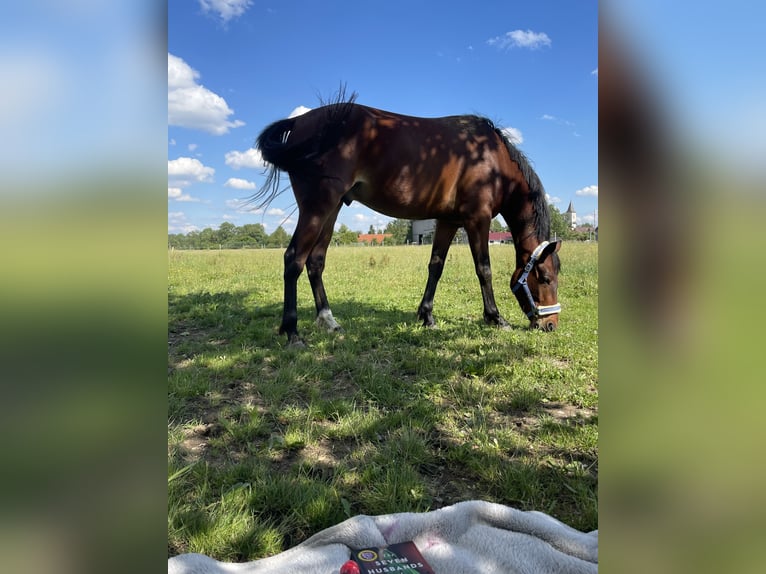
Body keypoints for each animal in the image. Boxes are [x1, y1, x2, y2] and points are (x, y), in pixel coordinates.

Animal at [255, 94, 560, 346]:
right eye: (545, 278)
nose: (550, 324)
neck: (491, 159)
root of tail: (300, 120)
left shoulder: (448, 221)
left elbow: (436, 266)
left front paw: (426, 316)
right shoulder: (477, 220)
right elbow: (484, 269)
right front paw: (495, 317)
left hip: (332, 210)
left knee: (315, 261)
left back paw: (329, 321)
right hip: (318, 208)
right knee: (294, 259)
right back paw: (292, 332)